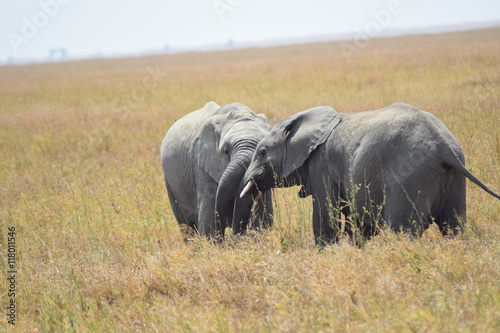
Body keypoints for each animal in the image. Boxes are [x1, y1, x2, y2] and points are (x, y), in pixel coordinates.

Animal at [161, 101, 274, 239]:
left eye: (264, 151)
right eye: (226, 151)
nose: (237, 233)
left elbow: (263, 217)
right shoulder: (203, 165)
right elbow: (209, 218)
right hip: (170, 182)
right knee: (186, 225)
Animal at [240, 104, 498, 246]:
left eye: (262, 152)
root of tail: (445, 147)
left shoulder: (321, 164)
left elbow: (326, 216)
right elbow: (357, 220)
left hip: (410, 176)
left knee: (403, 231)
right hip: (454, 178)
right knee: (453, 226)